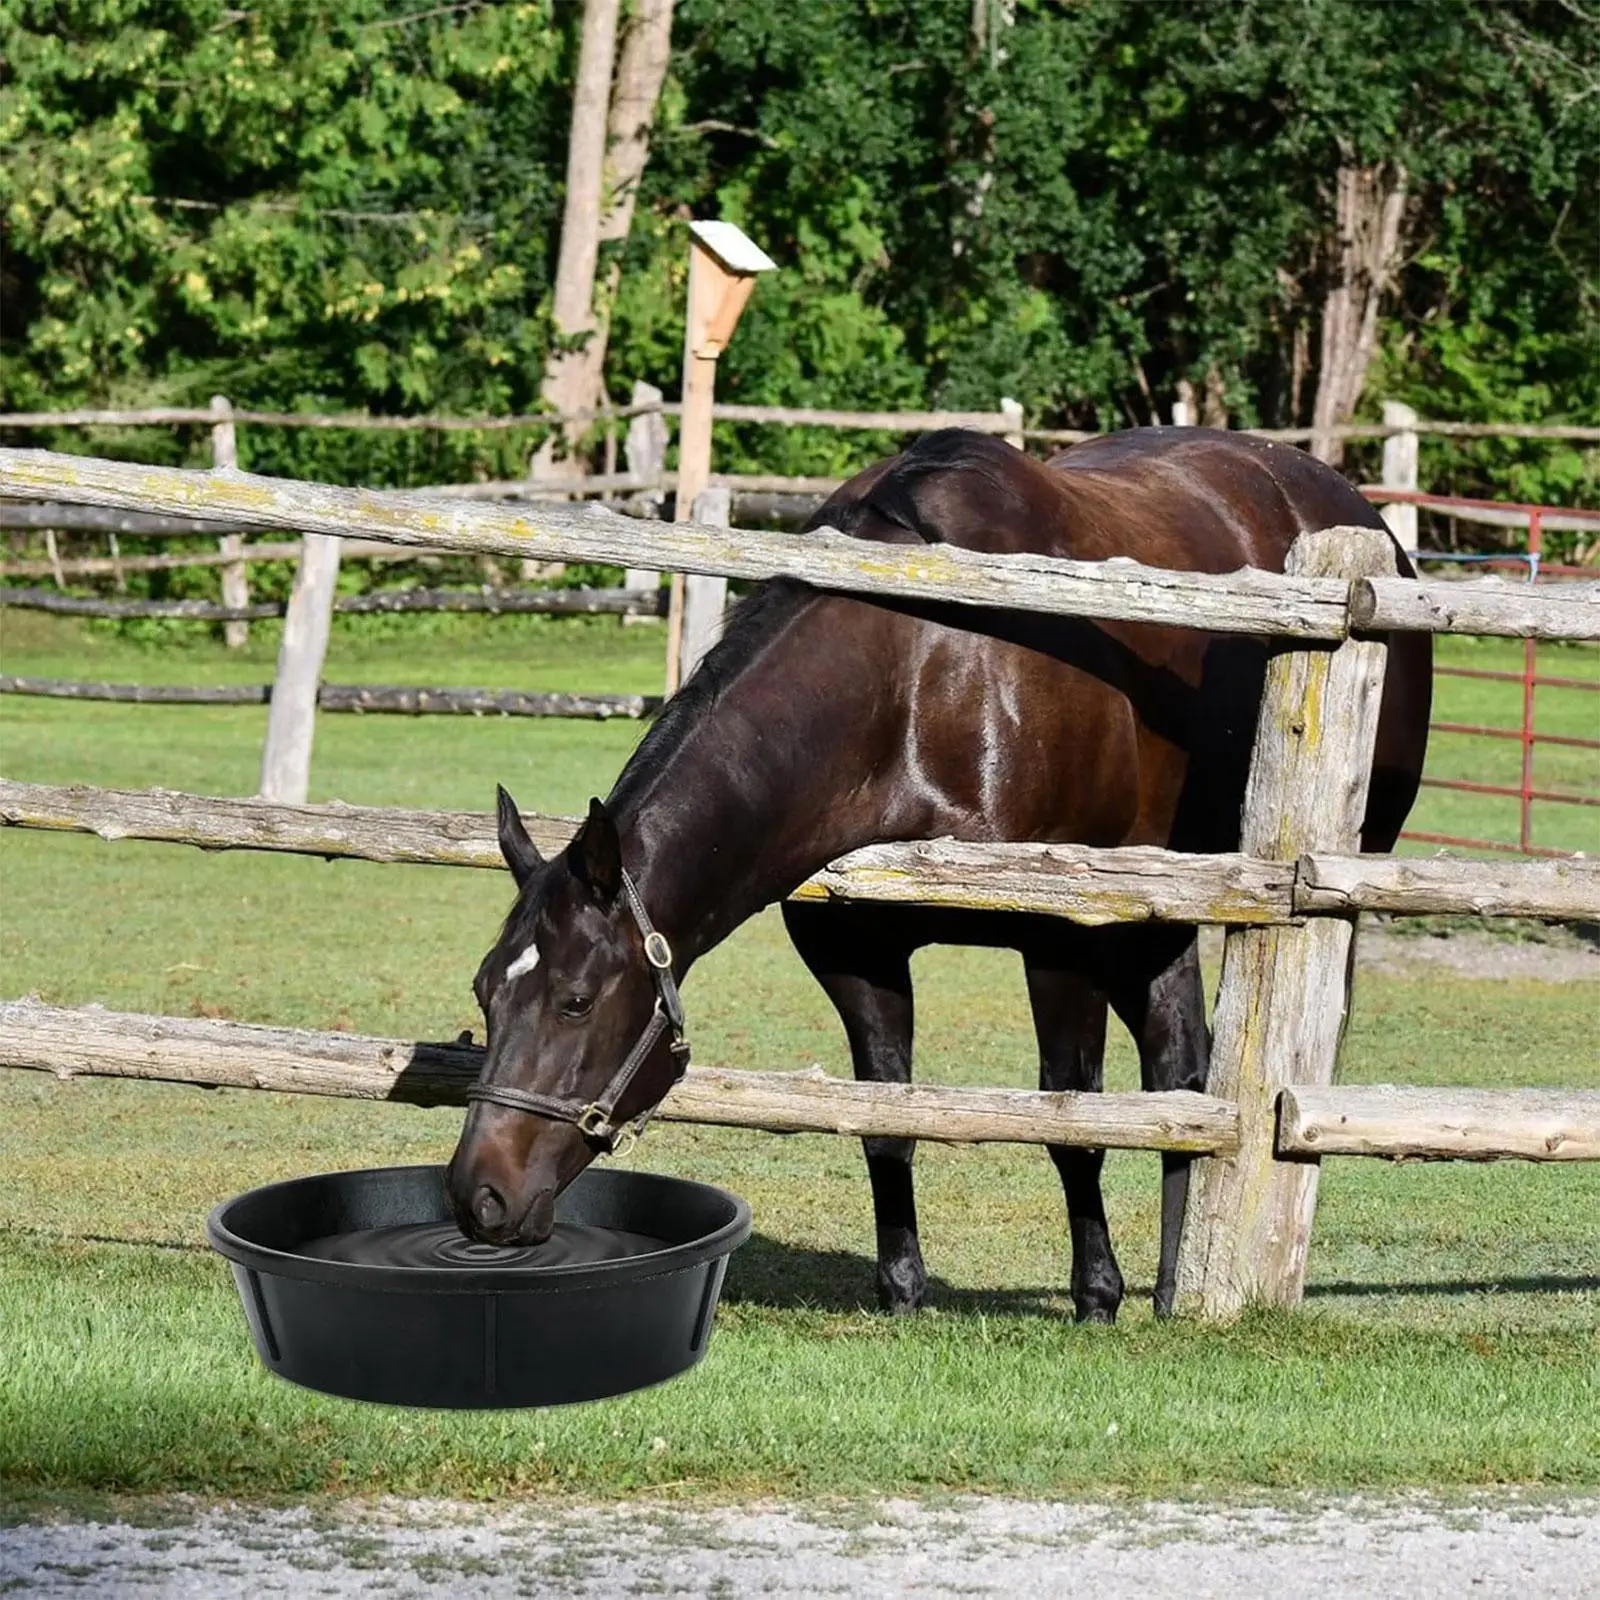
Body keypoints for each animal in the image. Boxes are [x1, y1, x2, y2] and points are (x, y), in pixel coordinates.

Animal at [446, 427, 1432, 1322]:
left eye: (576, 1000)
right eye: (486, 991)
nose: (479, 1196)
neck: (921, 676)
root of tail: (1357, 519)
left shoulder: (1060, 938)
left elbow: (1071, 1121)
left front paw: (1095, 1296)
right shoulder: (856, 950)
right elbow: (889, 1120)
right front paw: (903, 1291)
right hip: (1155, 917)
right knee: (1181, 1073)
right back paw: (1172, 1284)